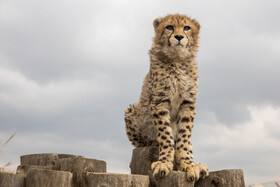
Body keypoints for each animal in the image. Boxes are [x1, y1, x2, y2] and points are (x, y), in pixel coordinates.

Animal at [124, 14, 208, 181]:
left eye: (187, 28)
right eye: (169, 27)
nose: (179, 36)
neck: (177, 59)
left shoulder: (188, 103)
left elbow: (184, 136)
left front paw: (188, 163)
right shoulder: (159, 101)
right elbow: (165, 134)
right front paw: (164, 162)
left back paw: (198, 164)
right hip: (131, 111)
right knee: (144, 142)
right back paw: (154, 143)